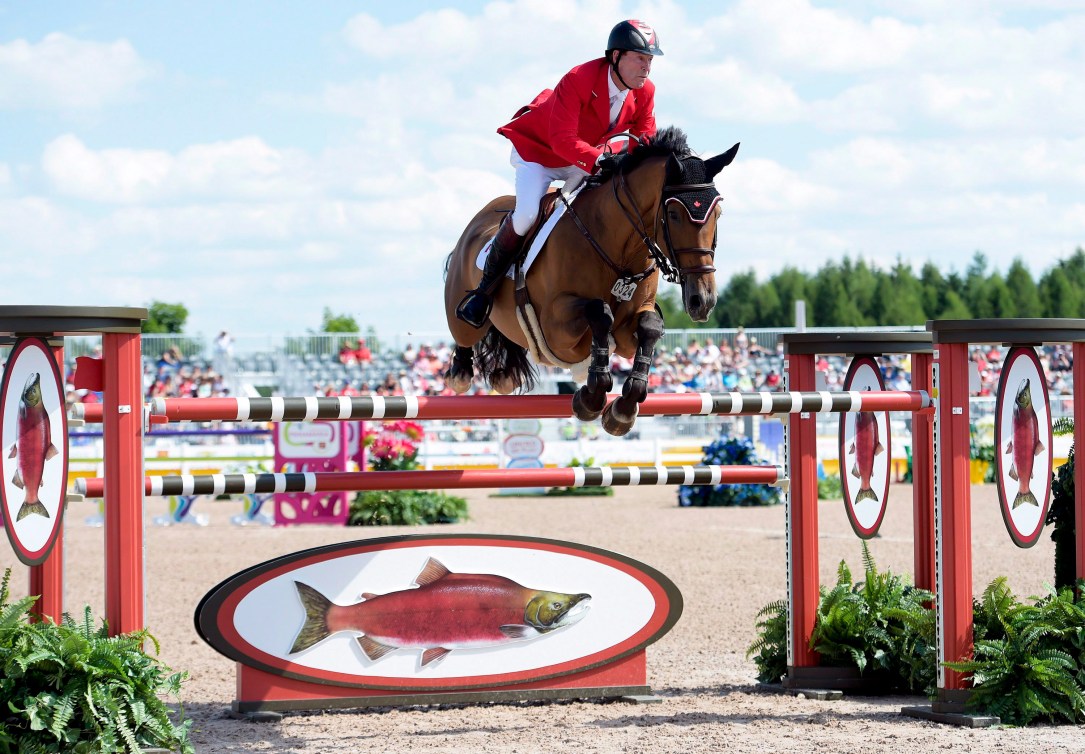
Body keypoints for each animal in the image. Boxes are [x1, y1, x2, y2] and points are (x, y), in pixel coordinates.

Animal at [440, 127, 737, 436]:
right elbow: (599, 312)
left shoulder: (630, 328)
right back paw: (461, 369)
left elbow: (649, 327)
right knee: (464, 334)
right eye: (674, 214)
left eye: (718, 214)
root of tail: (479, 220)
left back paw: (504, 376)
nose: (702, 301)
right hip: (465, 313)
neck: (619, 246)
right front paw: (593, 394)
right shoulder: (555, 327)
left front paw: (623, 408)